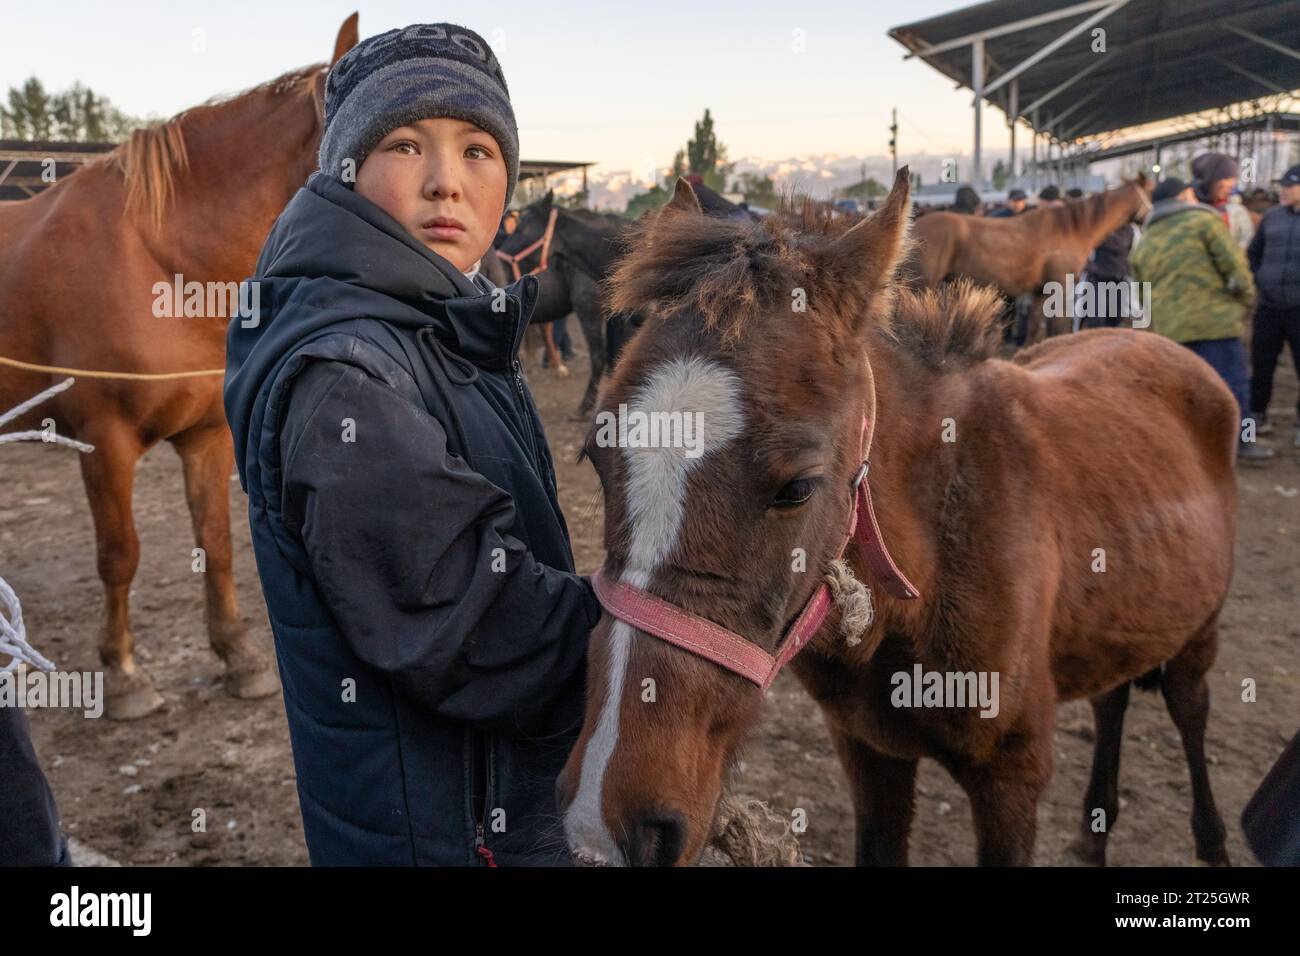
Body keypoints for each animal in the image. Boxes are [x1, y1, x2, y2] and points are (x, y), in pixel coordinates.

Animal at [0, 14, 358, 717]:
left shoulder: (205, 436)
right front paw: (123, 674)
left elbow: (215, 543)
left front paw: (240, 657)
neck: (156, 257)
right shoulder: (103, 440)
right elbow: (120, 554)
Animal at [909, 178, 1154, 343]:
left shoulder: (1040, 292)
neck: (1070, 229)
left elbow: (1035, 327)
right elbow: (1057, 328)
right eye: (1150, 195)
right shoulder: (1060, 287)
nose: (1150, 221)